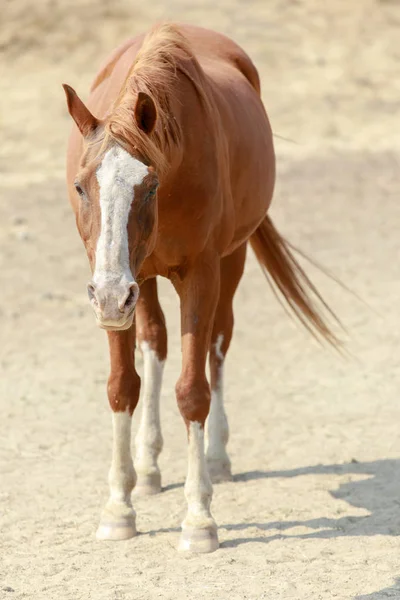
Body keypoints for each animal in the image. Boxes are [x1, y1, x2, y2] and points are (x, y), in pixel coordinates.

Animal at [62, 23, 338, 552]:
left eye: (149, 186)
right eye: (82, 186)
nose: (108, 296)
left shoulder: (201, 275)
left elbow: (193, 391)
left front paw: (199, 520)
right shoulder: (115, 282)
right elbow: (122, 386)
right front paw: (118, 508)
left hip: (227, 263)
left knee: (217, 343)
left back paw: (217, 459)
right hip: (140, 281)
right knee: (154, 343)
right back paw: (148, 467)